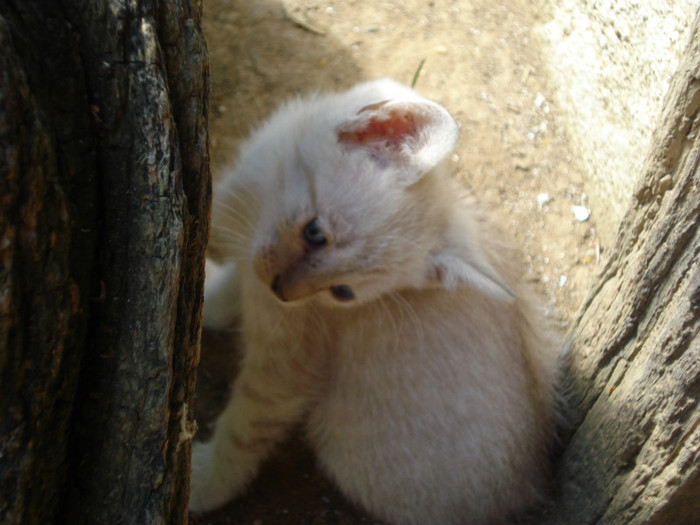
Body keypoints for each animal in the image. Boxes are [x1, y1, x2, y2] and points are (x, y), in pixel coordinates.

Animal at [189, 79, 560, 524]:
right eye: (315, 233)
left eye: (342, 292)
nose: (284, 292)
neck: (262, 193)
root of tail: (528, 492)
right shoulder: (253, 265)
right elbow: (231, 290)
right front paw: (206, 302)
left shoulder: (288, 366)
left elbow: (245, 429)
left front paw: (204, 483)